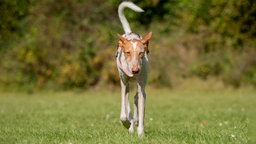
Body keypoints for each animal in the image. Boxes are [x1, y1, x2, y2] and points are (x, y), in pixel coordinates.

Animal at [116, 1, 152, 137]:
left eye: (141, 53)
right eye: (128, 52)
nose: (135, 70)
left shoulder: (142, 86)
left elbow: (141, 110)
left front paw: (140, 132)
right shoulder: (124, 83)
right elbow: (123, 114)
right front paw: (127, 123)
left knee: (136, 98)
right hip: (126, 84)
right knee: (128, 105)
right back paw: (130, 124)